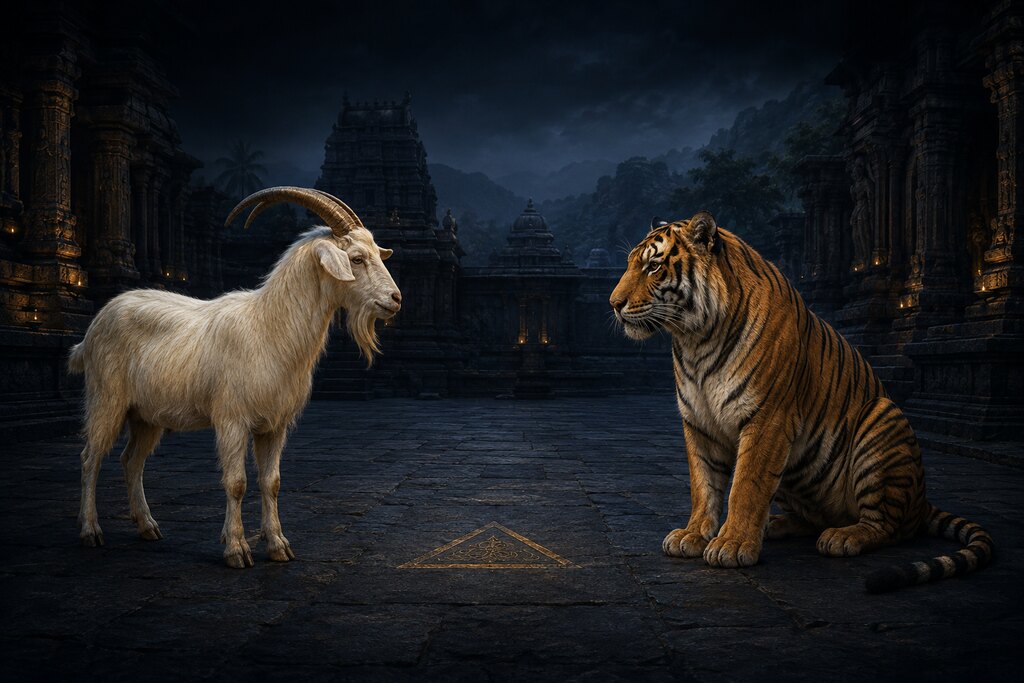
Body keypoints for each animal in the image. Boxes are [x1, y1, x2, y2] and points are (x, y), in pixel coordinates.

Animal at [68, 187, 401, 568]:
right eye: (357, 259)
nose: (395, 299)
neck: (270, 327)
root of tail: (92, 329)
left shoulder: (275, 425)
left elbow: (272, 481)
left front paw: (278, 545)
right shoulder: (231, 419)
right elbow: (236, 482)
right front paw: (237, 549)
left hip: (145, 415)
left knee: (131, 461)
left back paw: (148, 526)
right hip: (106, 399)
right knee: (90, 457)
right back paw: (90, 531)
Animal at [610, 210, 993, 592]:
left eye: (654, 267)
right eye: (630, 264)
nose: (614, 304)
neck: (695, 340)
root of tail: (923, 500)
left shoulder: (767, 418)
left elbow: (746, 486)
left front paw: (732, 544)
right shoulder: (698, 422)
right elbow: (703, 485)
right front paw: (693, 535)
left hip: (883, 416)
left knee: (891, 526)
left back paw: (843, 537)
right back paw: (777, 525)